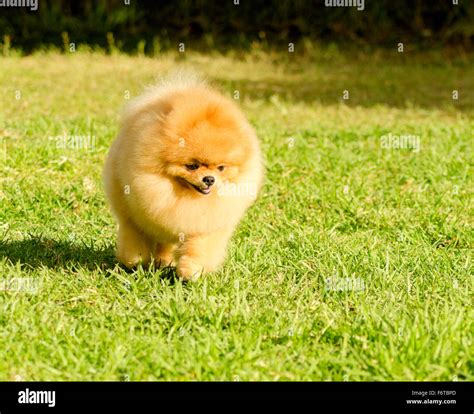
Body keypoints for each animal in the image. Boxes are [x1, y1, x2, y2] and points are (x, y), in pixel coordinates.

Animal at [103, 73, 264, 282]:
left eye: (221, 168)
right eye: (192, 166)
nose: (209, 179)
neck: (185, 198)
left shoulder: (208, 224)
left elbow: (200, 248)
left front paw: (191, 271)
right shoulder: (133, 216)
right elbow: (135, 240)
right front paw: (135, 261)